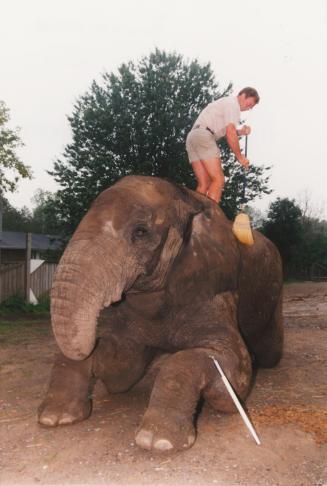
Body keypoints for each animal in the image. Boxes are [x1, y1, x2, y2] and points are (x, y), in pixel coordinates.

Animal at [39, 174, 284, 452]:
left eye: (140, 232)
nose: (95, 333)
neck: (189, 199)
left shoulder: (215, 289)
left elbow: (233, 369)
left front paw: (158, 442)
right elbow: (121, 370)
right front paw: (55, 418)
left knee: (269, 348)